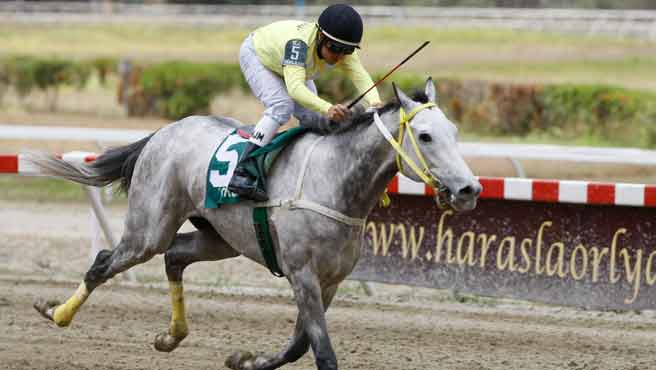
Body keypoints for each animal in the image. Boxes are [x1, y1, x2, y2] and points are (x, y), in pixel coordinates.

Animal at [28, 79, 480, 370]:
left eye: (455, 131)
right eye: (425, 136)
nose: (469, 189)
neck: (334, 182)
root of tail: (166, 130)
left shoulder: (330, 280)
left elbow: (298, 345)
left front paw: (244, 359)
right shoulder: (302, 274)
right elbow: (322, 351)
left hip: (220, 238)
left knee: (175, 256)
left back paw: (170, 336)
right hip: (148, 228)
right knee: (106, 261)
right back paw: (57, 313)